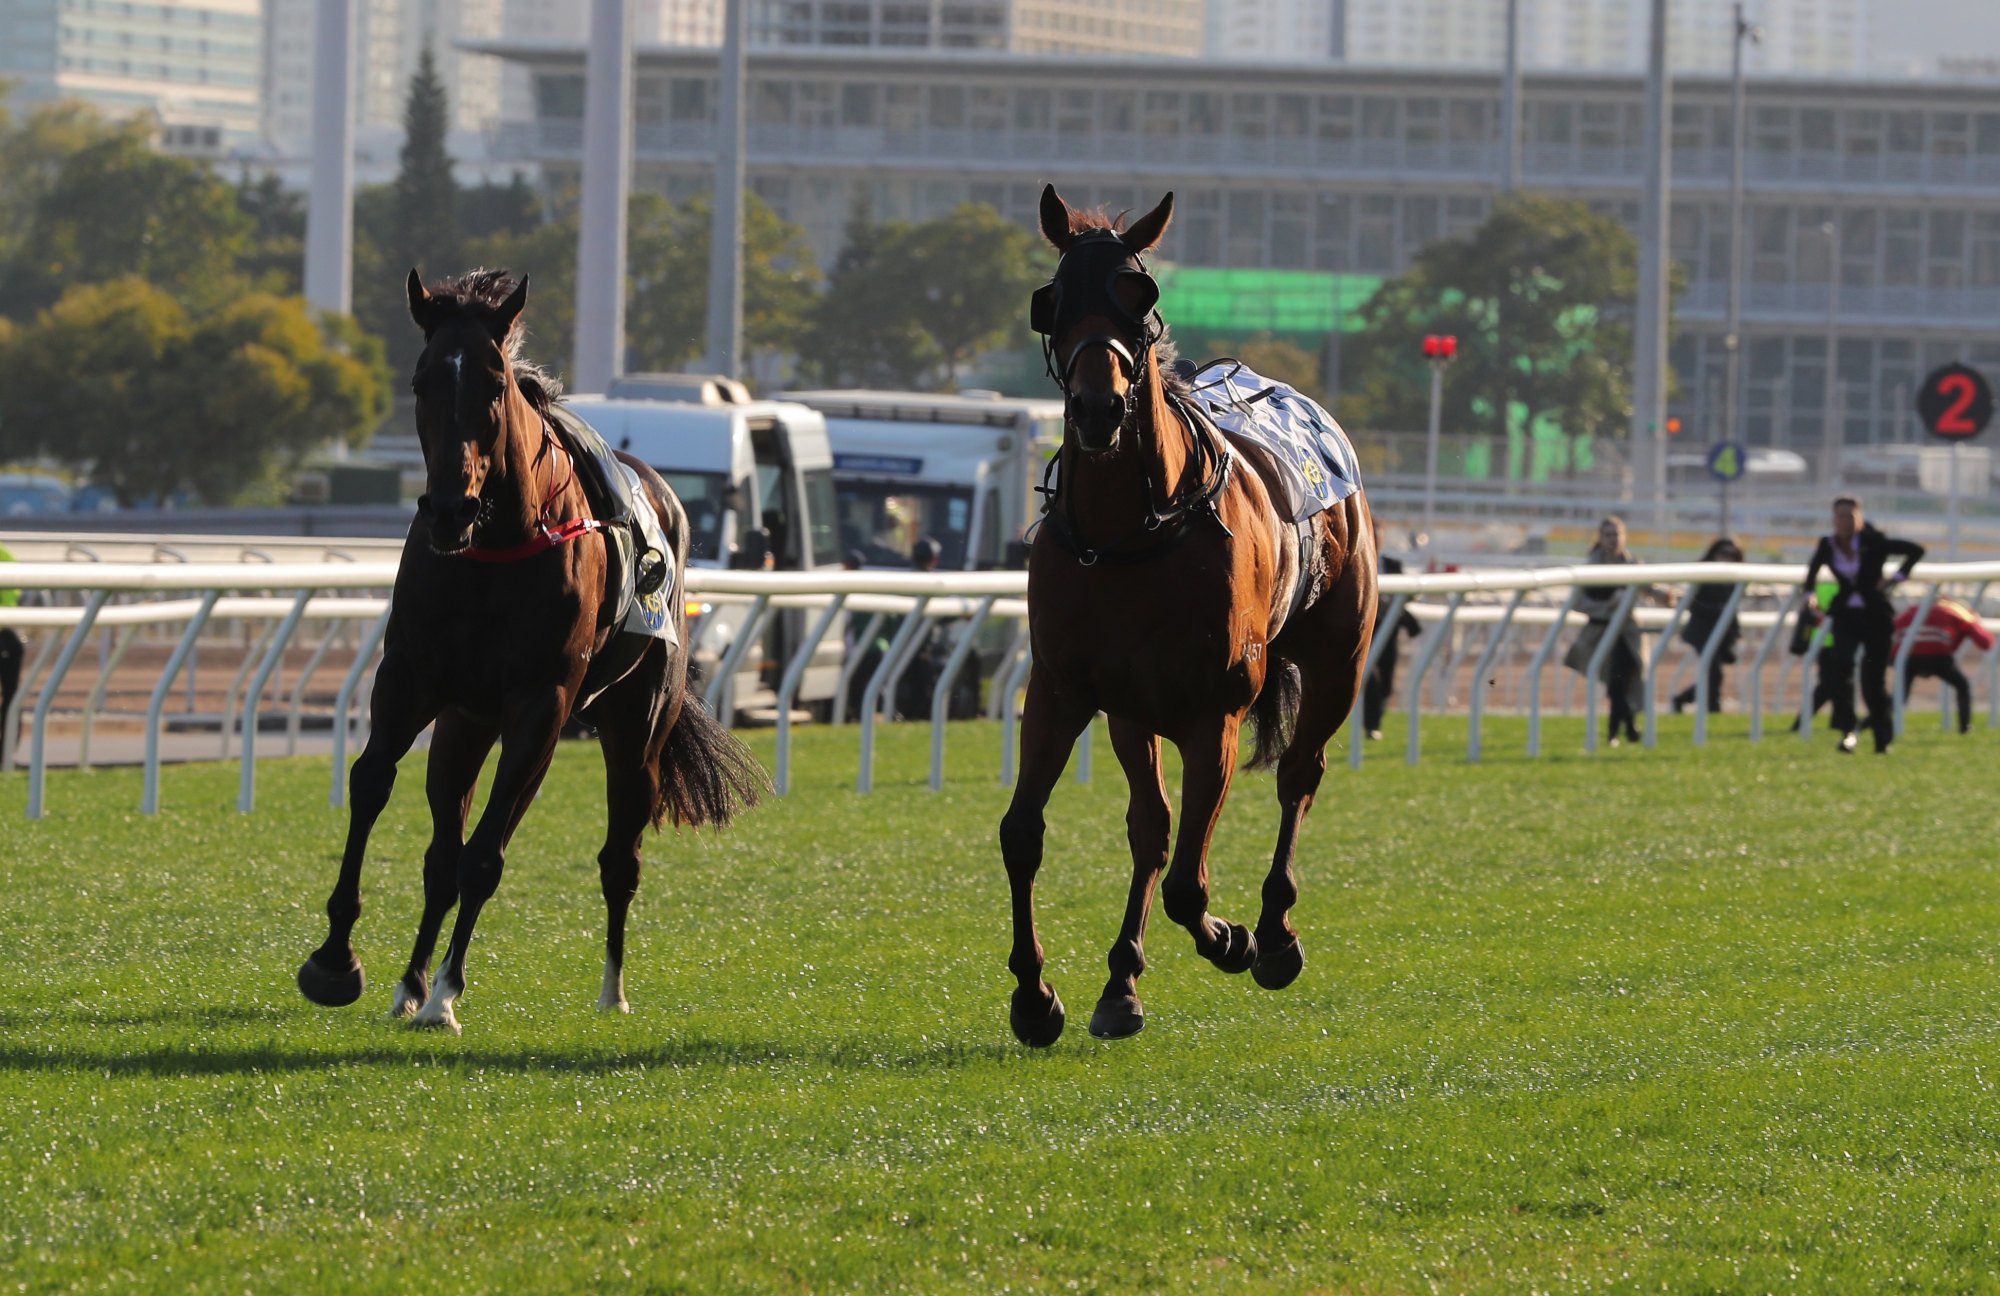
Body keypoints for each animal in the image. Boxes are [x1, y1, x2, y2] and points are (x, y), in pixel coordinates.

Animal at [296, 266, 764, 1032]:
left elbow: (487, 857)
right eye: (422, 380)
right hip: (466, 725)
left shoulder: (540, 704)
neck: (493, 548)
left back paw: (607, 990)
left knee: (615, 857)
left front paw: (447, 994)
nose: (449, 509)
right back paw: (412, 983)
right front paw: (338, 960)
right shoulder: (410, 681)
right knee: (442, 854)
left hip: (632, 728)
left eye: (493, 382)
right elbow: (372, 785)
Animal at [1000, 187, 1376, 1048]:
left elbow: (1188, 887)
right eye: (1052, 300)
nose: (1097, 408)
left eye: (1140, 300)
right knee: (1151, 826)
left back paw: (1273, 934)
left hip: (1338, 660)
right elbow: (1027, 832)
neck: (1130, 535)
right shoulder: (1069, 692)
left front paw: (1234, 940)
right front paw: (1037, 996)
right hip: (1134, 714)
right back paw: (1121, 984)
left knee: (1299, 776)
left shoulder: (1218, 711)